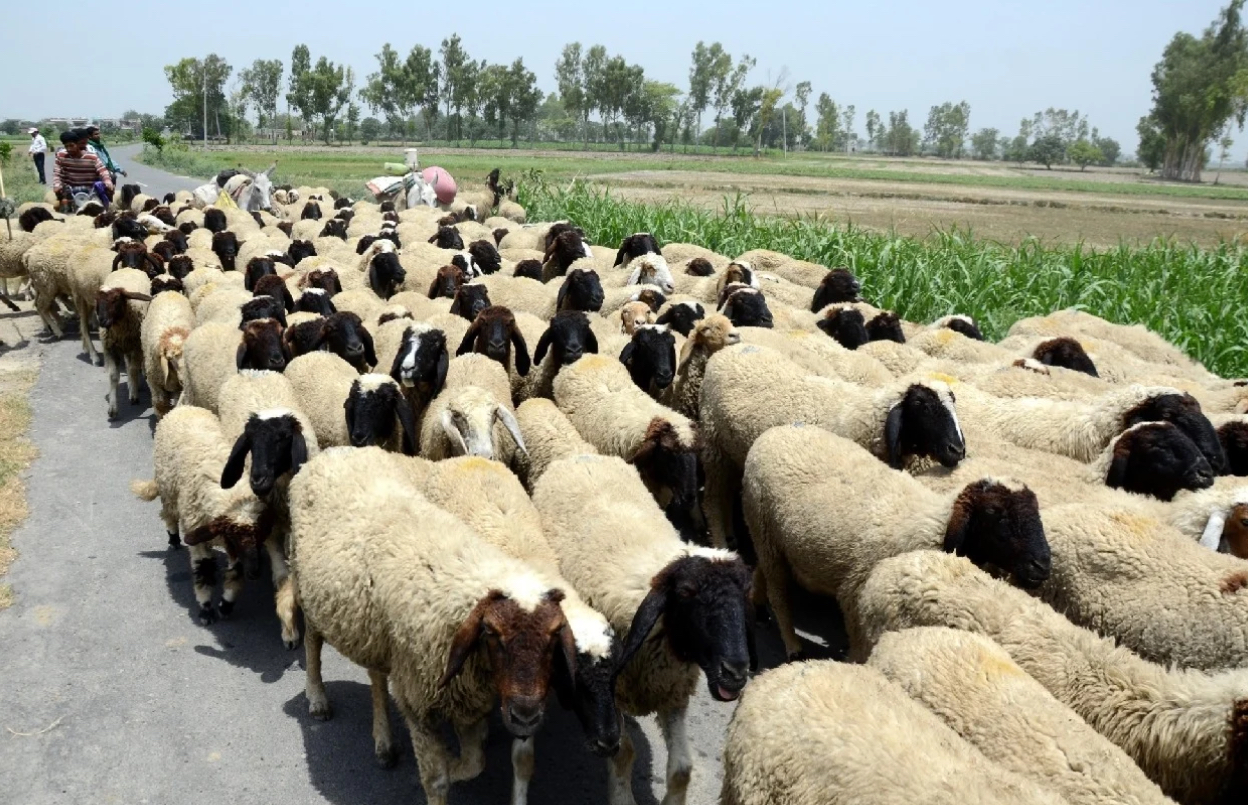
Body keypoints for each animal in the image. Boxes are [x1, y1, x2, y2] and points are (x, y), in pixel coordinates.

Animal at [95, 269, 153, 420]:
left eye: (115, 299)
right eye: (97, 301)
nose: (102, 321)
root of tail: (127, 268)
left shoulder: (137, 347)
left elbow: (133, 369)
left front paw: (134, 396)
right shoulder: (110, 349)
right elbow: (113, 377)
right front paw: (112, 409)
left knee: (132, 367)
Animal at [131, 406, 272, 622]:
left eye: (260, 535)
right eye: (234, 534)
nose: (255, 572)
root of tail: (183, 408)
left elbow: (236, 572)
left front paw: (226, 605)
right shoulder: (200, 536)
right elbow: (203, 570)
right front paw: (206, 609)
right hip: (168, 490)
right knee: (168, 515)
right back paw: (173, 539)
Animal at [532, 454, 753, 805]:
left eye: (746, 594)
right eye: (686, 593)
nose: (735, 672)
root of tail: (577, 455)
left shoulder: (673, 693)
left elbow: (682, 769)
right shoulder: (613, 692)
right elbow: (623, 753)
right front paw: (622, 798)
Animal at [699, 344, 966, 551]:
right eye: (921, 404)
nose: (957, 450)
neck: (864, 419)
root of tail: (726, 351)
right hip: (713, 444)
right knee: (712, 498)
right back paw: (720, 543)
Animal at [744, 424, 1048, 659]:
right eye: (996, 514)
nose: (1043, 565)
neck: (934, 523)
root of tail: (774, 431)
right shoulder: (855, 595)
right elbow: (859, 647)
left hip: (769, 535)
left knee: (762, 568)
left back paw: (756, 603)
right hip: (762, 524)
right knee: (779, 592)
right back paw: (793, 646)